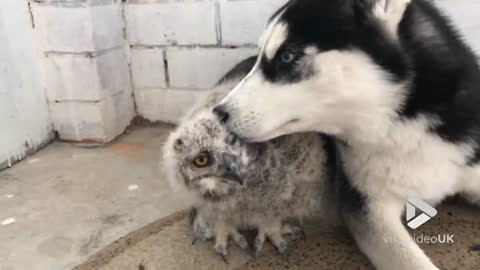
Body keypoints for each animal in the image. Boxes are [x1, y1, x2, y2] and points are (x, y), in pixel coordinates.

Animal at [163, 57, 336, 258]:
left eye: (231, 139)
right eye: (201, 160)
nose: (230, 166)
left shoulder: (300, 175)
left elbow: (275, 210)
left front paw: (271, 229)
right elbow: (219, 213)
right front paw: (223, 229)